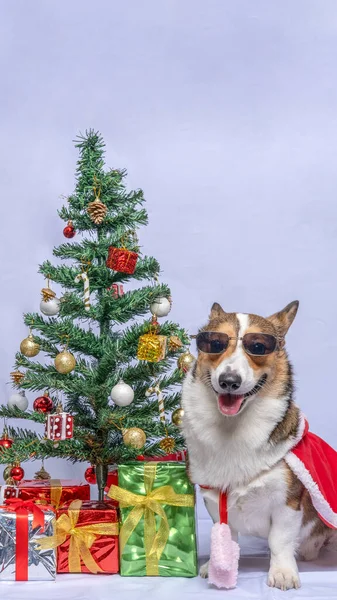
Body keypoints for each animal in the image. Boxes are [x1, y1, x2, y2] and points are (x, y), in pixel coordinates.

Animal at [181, 302, 336, 592]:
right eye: (215, 343)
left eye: (258, 347)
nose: (229, 381)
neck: (233, 428)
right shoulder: (216, 501)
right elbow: (228, 537)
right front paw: (216, 568)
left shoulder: (288, 502)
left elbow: (280, 541)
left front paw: (283, 574)